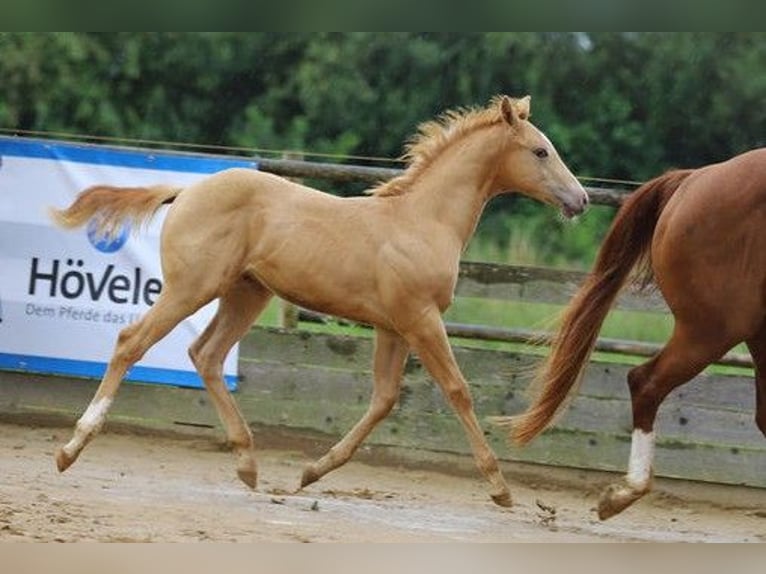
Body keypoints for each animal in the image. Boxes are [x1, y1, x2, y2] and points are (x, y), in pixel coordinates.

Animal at [50, 95, 588, 508]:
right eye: (541, 151)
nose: (580, 199)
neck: (421, 220)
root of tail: (186, 191)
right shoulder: (421, 318)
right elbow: (458, 390)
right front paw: (500, 487)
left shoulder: (393, 326)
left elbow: (384, 400)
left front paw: (312, 472)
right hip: (192, 287)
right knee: (131, 341)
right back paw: (72, 447)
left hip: (246, 293)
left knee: (206, 355)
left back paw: (248, 463)